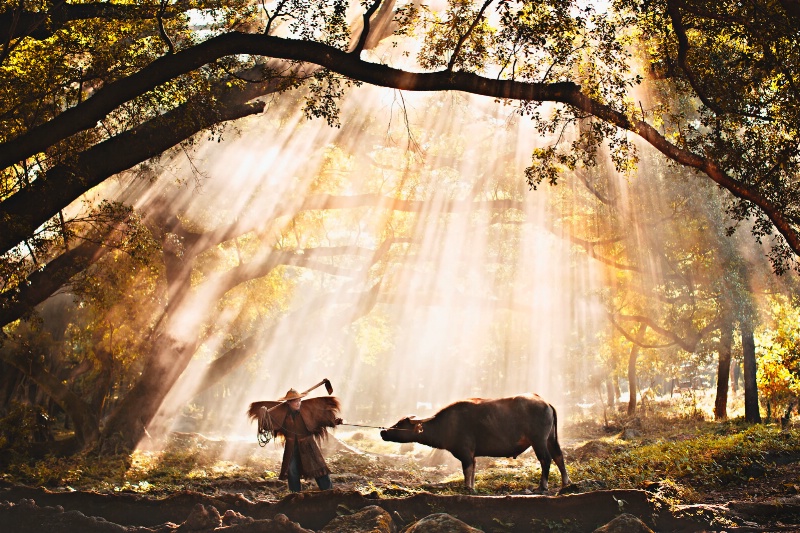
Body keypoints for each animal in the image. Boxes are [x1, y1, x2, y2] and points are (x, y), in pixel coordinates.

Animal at [380, 390, 568, 490]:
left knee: (546, 459)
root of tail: (545, 402)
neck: (447, 424)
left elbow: (467, 470)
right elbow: (473, 469)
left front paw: (467, 488)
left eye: (400, 424)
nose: (384, 432)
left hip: (538, 440)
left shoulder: (465, 452)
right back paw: (566, 483)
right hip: (551, 439)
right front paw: (471, 486)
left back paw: (542, 486)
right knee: (558, 456)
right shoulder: (472, 455)